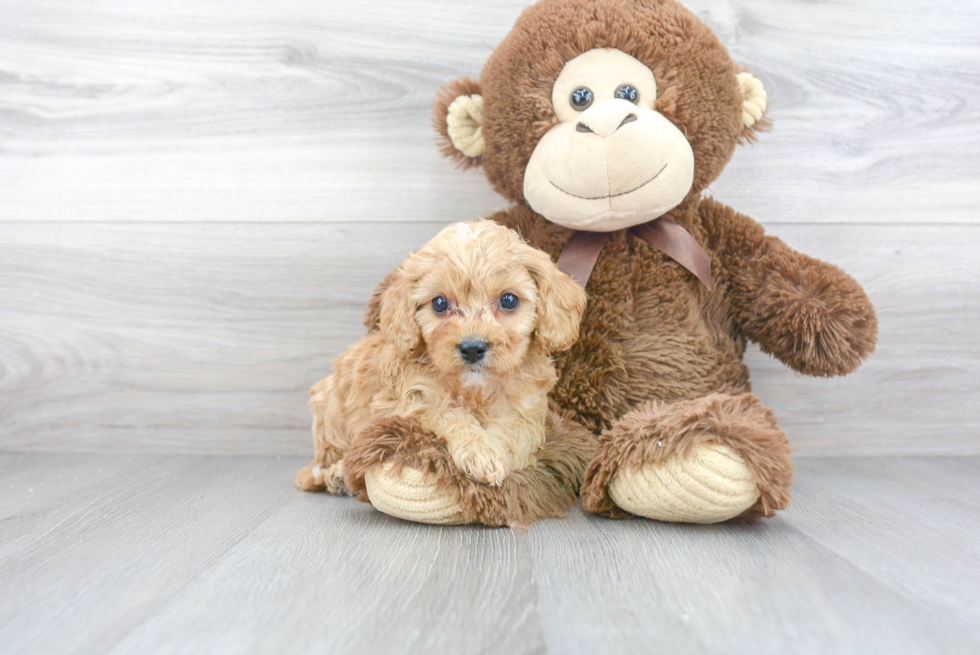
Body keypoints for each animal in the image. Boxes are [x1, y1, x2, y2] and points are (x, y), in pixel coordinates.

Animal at [294, 220, 584, 492]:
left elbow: (516, 434)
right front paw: (479, 451)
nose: (472, 348)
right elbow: (448, 413)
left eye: (509, 300)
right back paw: (337, 475)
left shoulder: (526, 411)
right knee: (315, 470)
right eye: (440, 303)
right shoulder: (407, 401)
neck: (475, 389)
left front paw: (495, 455)